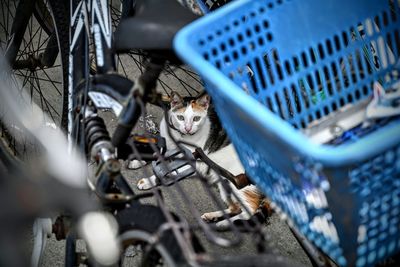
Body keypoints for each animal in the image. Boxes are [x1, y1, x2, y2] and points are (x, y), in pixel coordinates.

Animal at [136, 92, 270, 230]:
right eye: (180, 117)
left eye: (196, 118)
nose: (188, 128)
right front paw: (137, 160)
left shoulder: (190, 161)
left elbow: (167, 171)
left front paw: (148, 181)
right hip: (224, 182)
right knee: (235, 208)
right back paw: (213, 217)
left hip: (238, 184)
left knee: (250, 210)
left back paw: (224, 223)